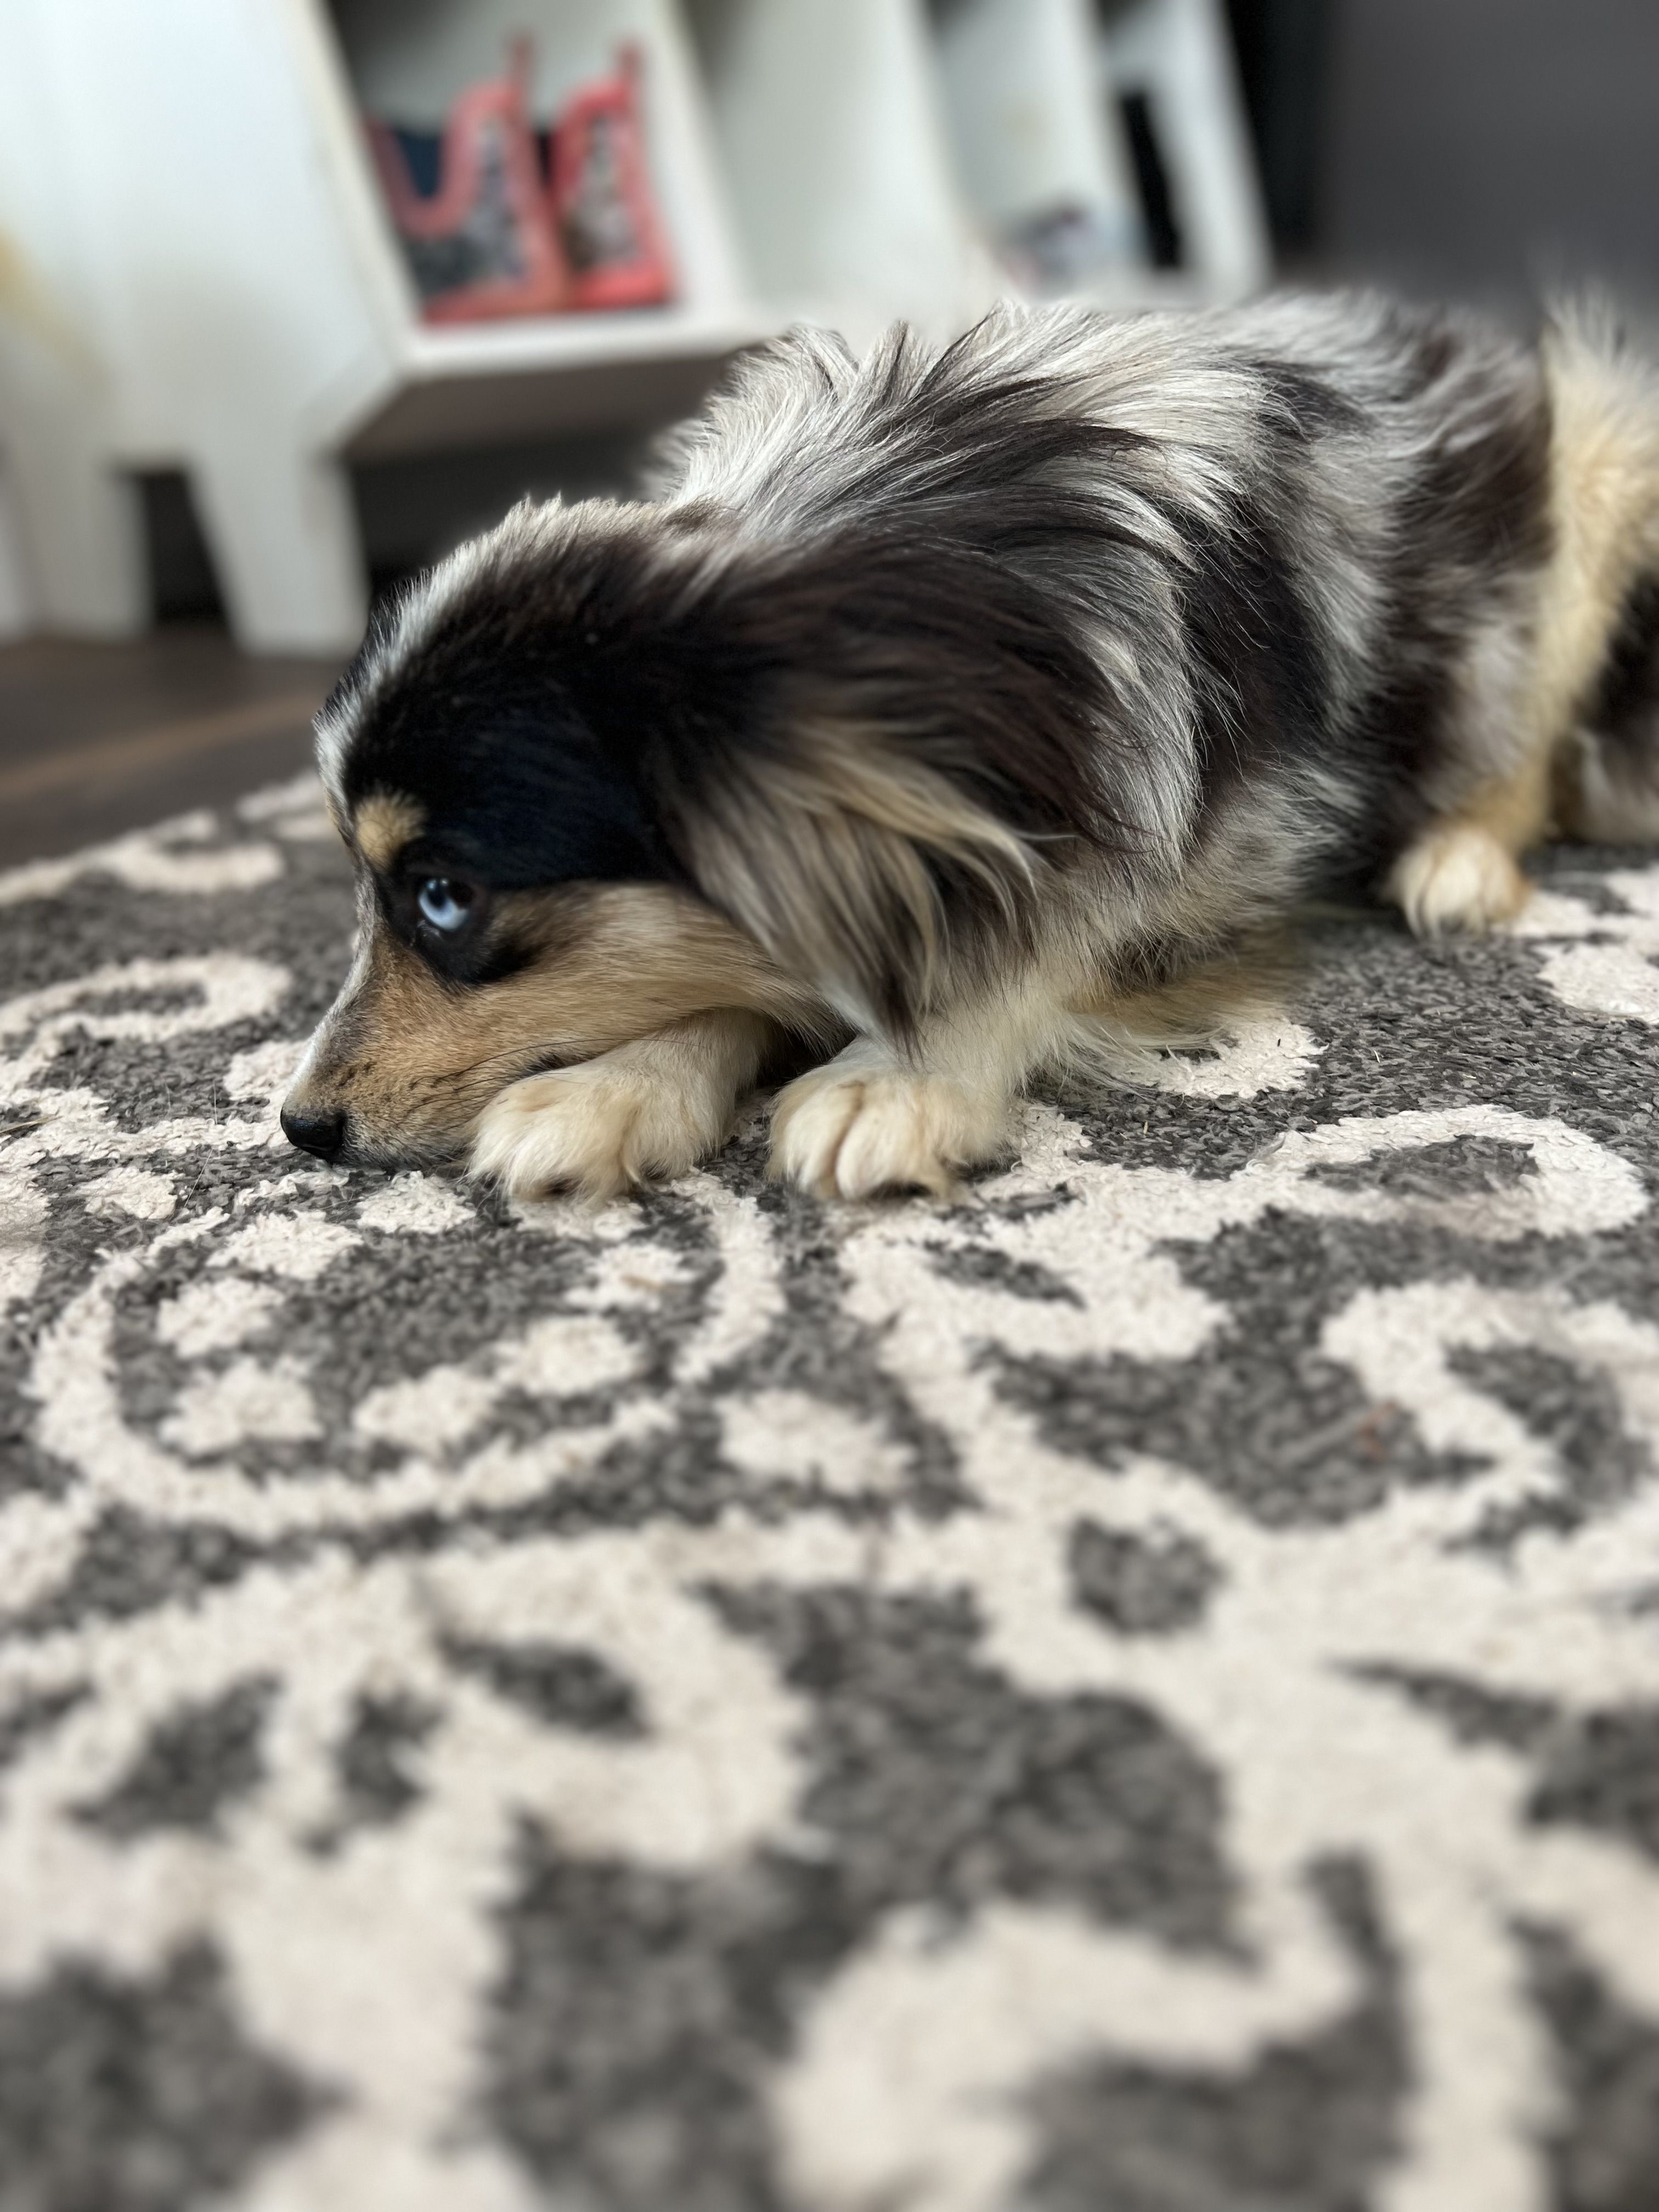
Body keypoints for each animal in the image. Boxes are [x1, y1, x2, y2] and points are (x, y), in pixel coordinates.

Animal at [282, 289, 1659, 1200]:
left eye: (444, 897)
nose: (299, 1126)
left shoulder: (1222, 857)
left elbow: (1030, 947)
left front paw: (900, 1079)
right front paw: (619, 1087)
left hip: (1598, 471)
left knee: (1526, 747)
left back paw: (1458, 859)